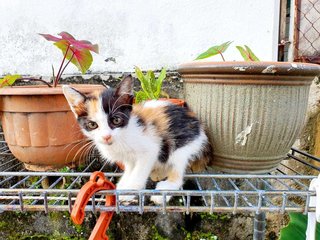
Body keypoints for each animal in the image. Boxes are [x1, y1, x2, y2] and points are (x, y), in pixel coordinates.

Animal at [63, 75, 211, 204]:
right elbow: (130, 169)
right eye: (92, 125)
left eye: (116, 120)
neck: (122, 136)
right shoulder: (129, 159)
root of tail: (201, 130)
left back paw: (165, 190)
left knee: (177, 171)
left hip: (182, 147)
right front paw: (124, 184)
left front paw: (129, 191)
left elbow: (139, 171)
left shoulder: (151, 150)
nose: (106, 136)